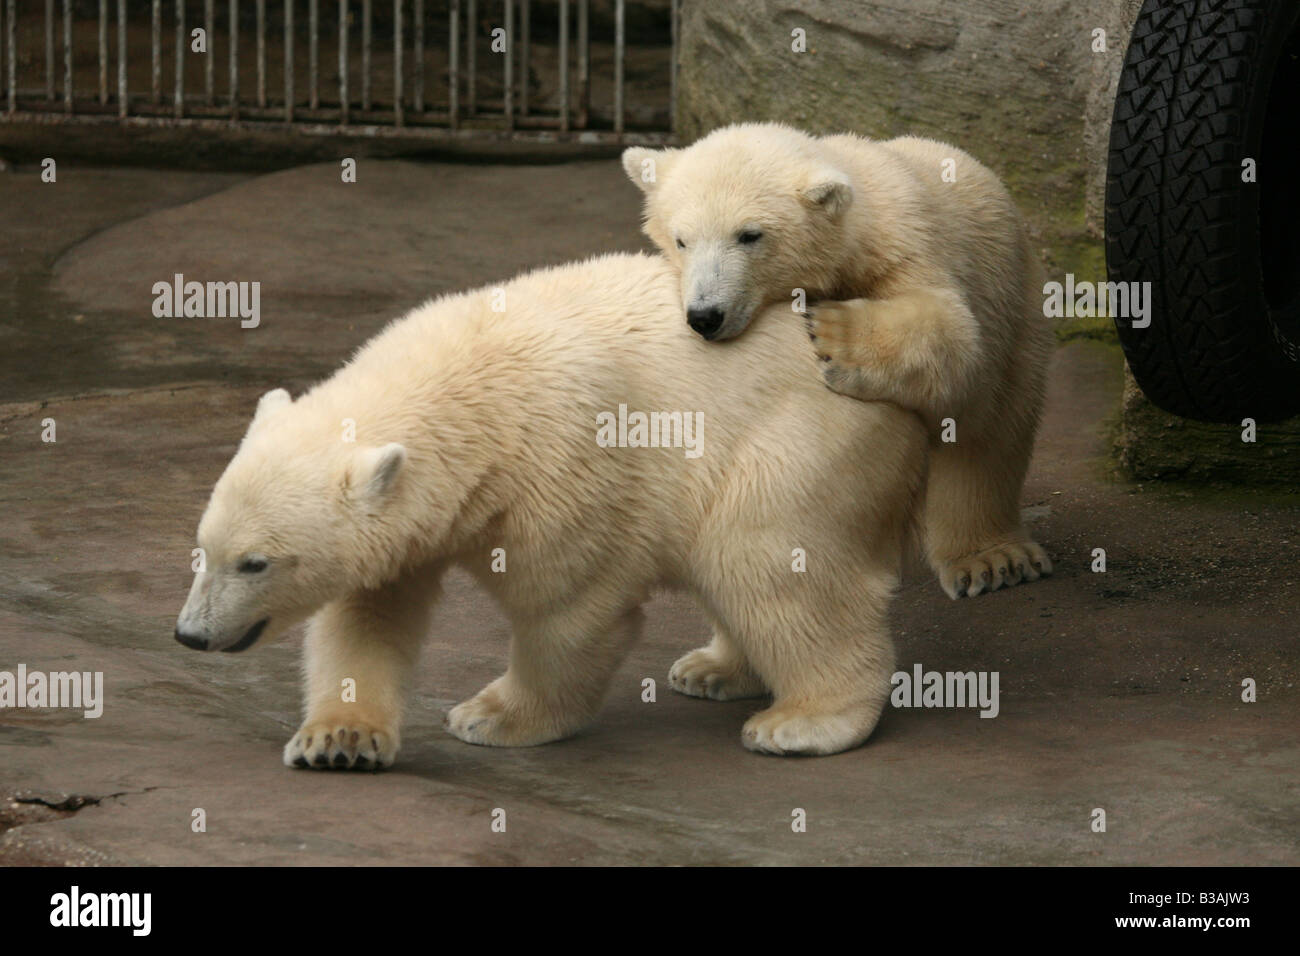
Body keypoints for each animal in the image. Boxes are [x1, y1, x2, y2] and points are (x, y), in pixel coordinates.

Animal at [178, 254, 930, 770]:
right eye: (203, 548)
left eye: (256, 563)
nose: (190, 634)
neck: (470, 395)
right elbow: (369, 611)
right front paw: (338, 738)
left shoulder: (560, 461)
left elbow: (567, 608)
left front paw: (491, 716)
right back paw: (715, 670)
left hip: (795, 438)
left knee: (767, 560)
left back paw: (803, 721)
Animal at [621, 121, 1055, 598]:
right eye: (681, 240)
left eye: (749, 235)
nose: (705, 316)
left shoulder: (907, 250)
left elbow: (953, 334)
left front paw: (829, 332)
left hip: (1013, 300)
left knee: (990, 430)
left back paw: (991, 559)